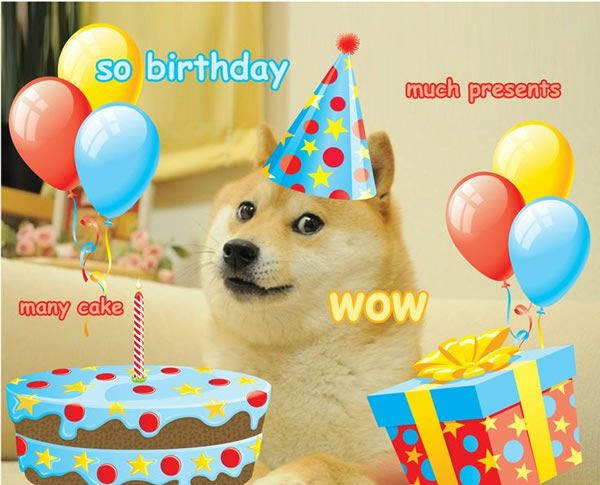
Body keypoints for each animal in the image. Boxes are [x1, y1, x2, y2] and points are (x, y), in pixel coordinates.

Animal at [199, 125, 420, 484]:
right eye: (246, 211)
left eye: (308, 223)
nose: (237, 250)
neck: (290, 354)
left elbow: (320, 461)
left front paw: (282, 476)